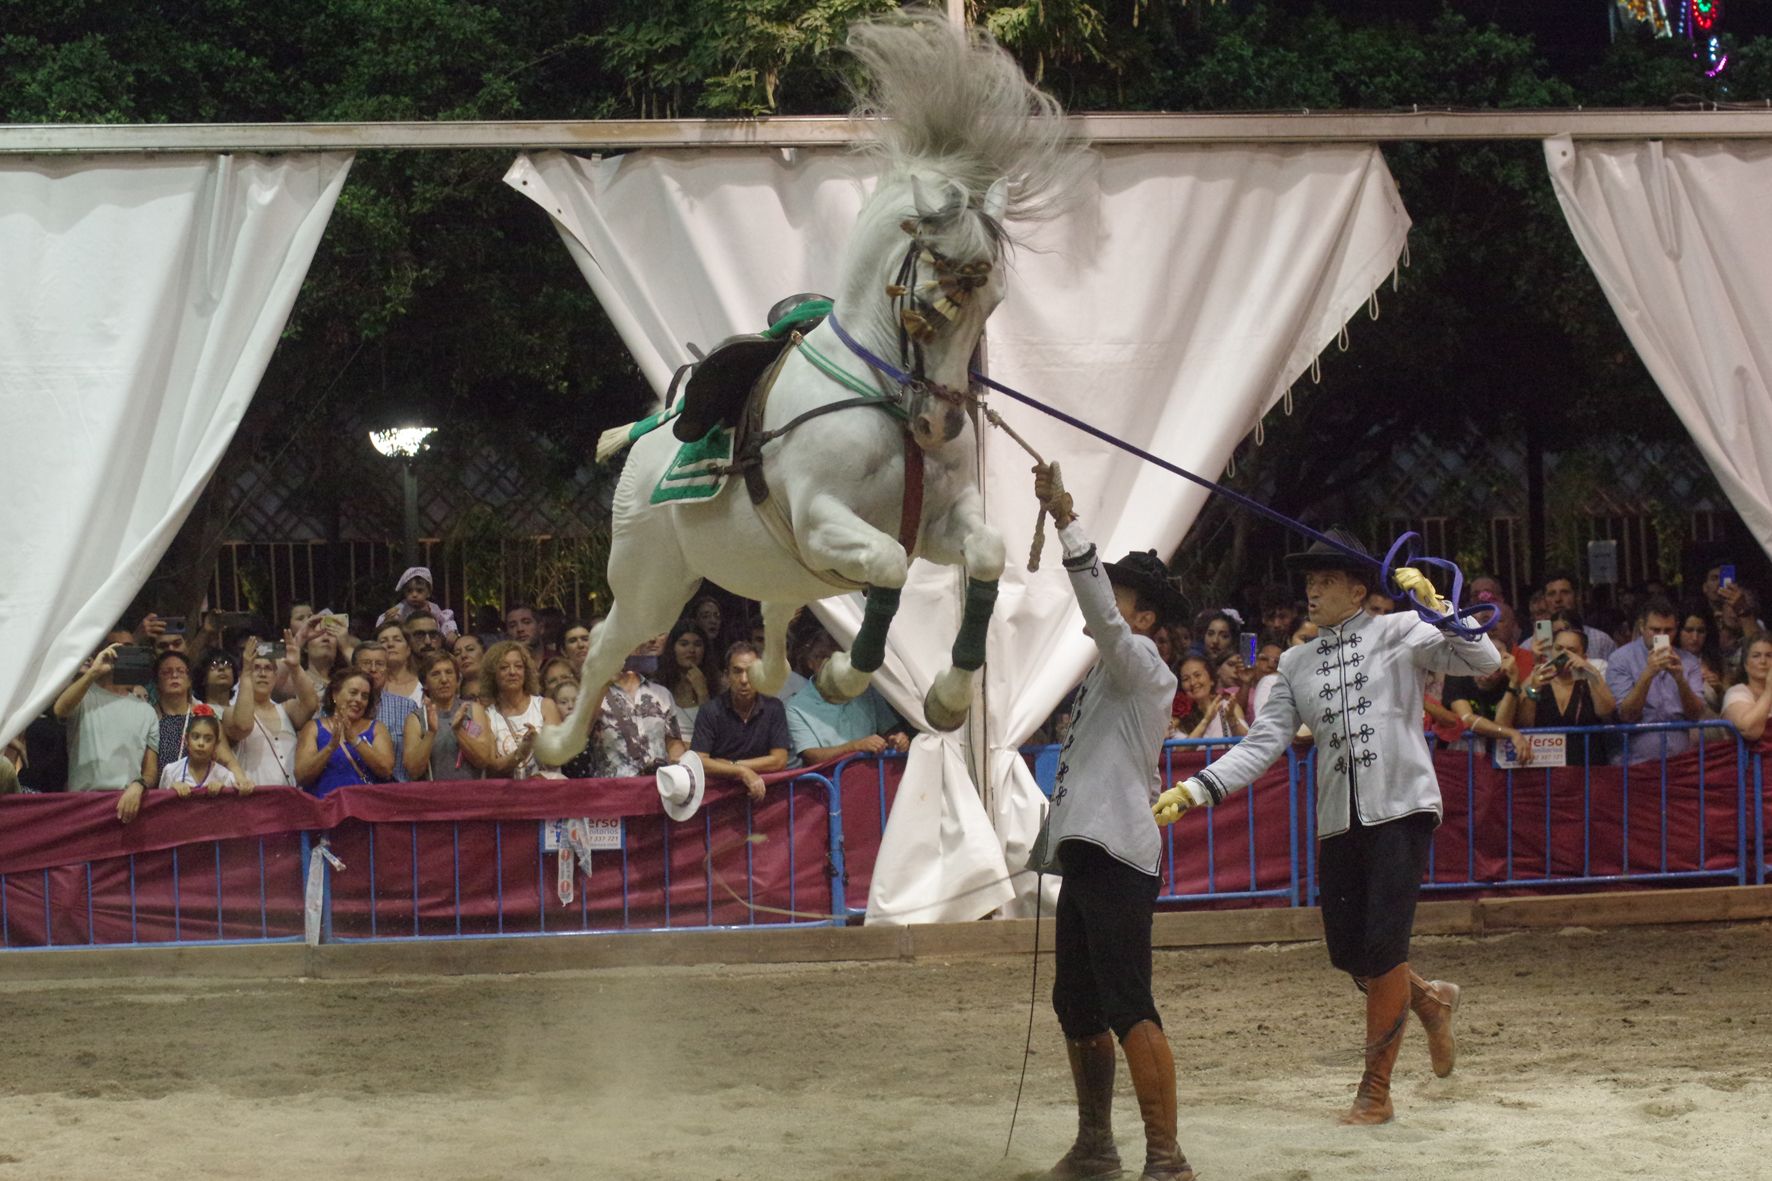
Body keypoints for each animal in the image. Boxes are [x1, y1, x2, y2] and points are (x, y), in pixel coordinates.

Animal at [538, 11, 1091, 762]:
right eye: (933, 302)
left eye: (993, 303)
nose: (942, 426)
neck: (887, 401)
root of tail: (659, 425)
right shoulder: (823, 518)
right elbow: (886, 565)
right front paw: (843, 674)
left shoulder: (941, 522)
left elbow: (987, 553)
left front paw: (947, 697)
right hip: (652, 580)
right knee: (602, 647)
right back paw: (555, 744)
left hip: (766, 566)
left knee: (773, 610)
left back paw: (770, 674)